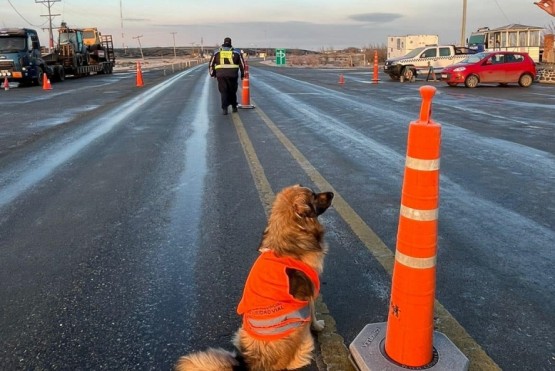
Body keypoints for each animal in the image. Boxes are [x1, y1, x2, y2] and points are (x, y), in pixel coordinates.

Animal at [176, 186, 336, 371]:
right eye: (314, 196)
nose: (332, 193)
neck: (290, 231)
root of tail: (255, 362)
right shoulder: (310, 291)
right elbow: (313, 313)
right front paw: (318, 326)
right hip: (301, 330)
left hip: (242, 332)